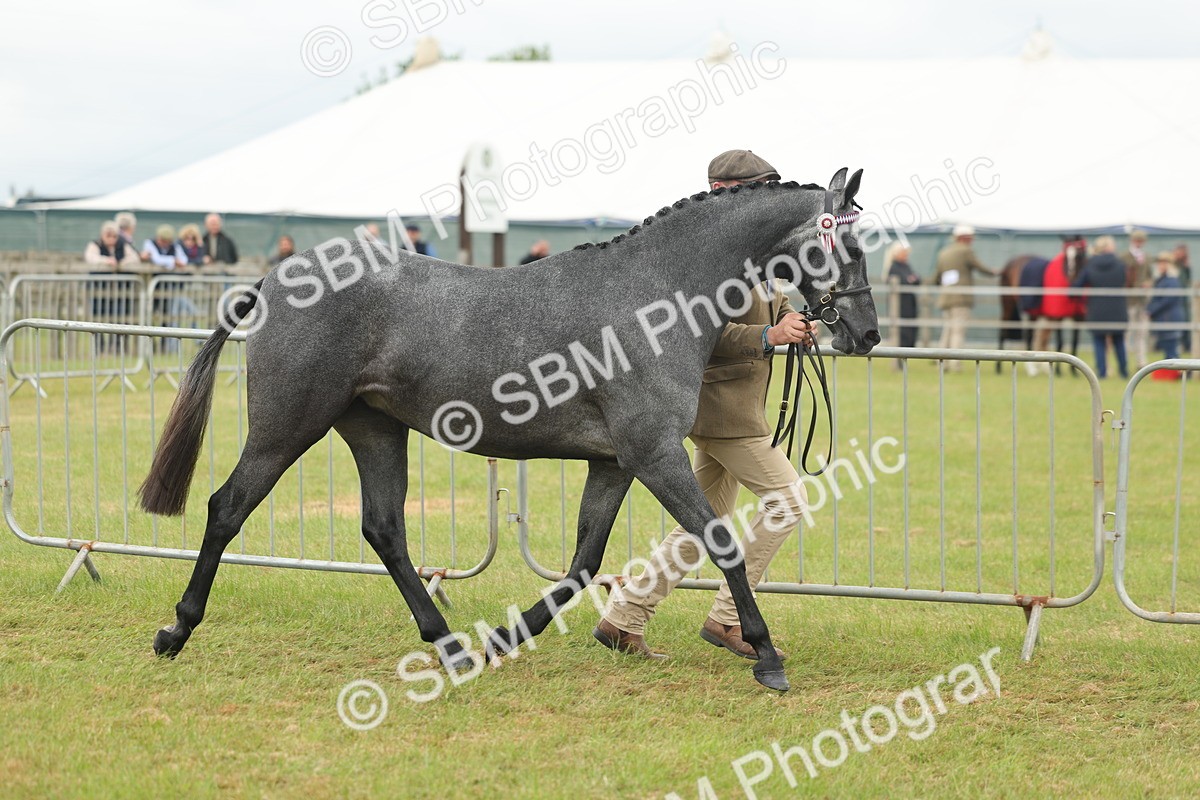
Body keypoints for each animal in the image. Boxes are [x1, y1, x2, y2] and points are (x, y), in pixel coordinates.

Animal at [137, 169, 880, 693]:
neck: (653, 295)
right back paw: (175, 630)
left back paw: (453, 647)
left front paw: (503, 638)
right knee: (227, 507)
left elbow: (581, 566)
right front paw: (768, 657)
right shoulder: (654, 454)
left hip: (374, 429)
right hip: (287, 426)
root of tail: (274, 278)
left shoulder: (615, 462)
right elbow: (720, 544)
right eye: (846, 242)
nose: (866, 334)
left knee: (384, 530)